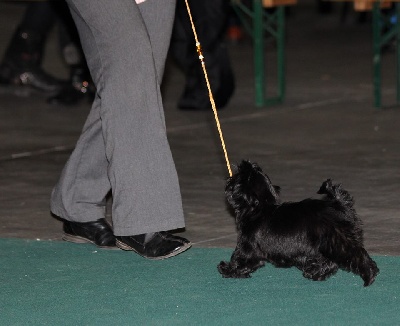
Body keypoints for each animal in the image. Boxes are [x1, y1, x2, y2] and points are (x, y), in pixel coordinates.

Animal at [219, 160, 378, 286]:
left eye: (241, 175)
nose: (244, 163)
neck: (259, 208)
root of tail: (340, 205)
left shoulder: (248, 247)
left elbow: (241, 260)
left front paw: (227, 269)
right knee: (330, 262)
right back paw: (315, 272)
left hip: (337, 242)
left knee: (357, 256)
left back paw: (369, 276)